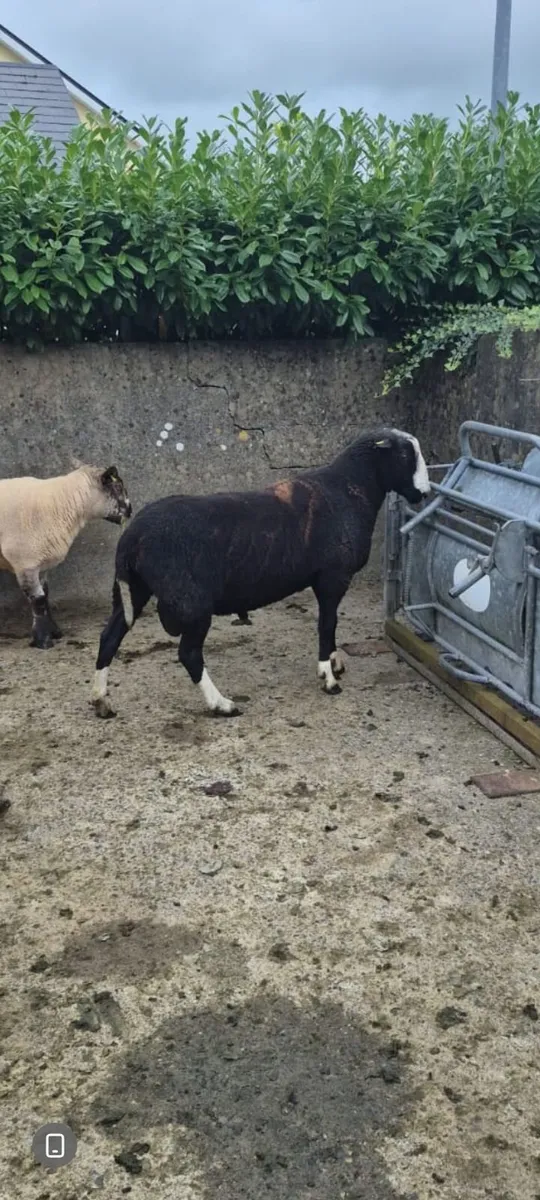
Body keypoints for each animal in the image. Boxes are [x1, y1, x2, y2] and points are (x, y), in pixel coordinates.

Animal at [0, 464, 132, 648]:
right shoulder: (26, 562)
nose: (130, 510)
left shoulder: (42, 563)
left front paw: (54, 632)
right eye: (118, 487)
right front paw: (43, 640)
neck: (62, 502)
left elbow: (46, 595)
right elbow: (38, 600)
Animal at [91, 427, 430, 719]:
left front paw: (334, 662)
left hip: (135, 588)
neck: (349, 489)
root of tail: (131, 536)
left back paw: (101, 700)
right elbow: (326, 624)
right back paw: (222, 704)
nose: (424, 493)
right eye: (404, 454)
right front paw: (328, 677)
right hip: (192, 600)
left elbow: (331, 624)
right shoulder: (333, 576)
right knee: (188, 654)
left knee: (110, 636)